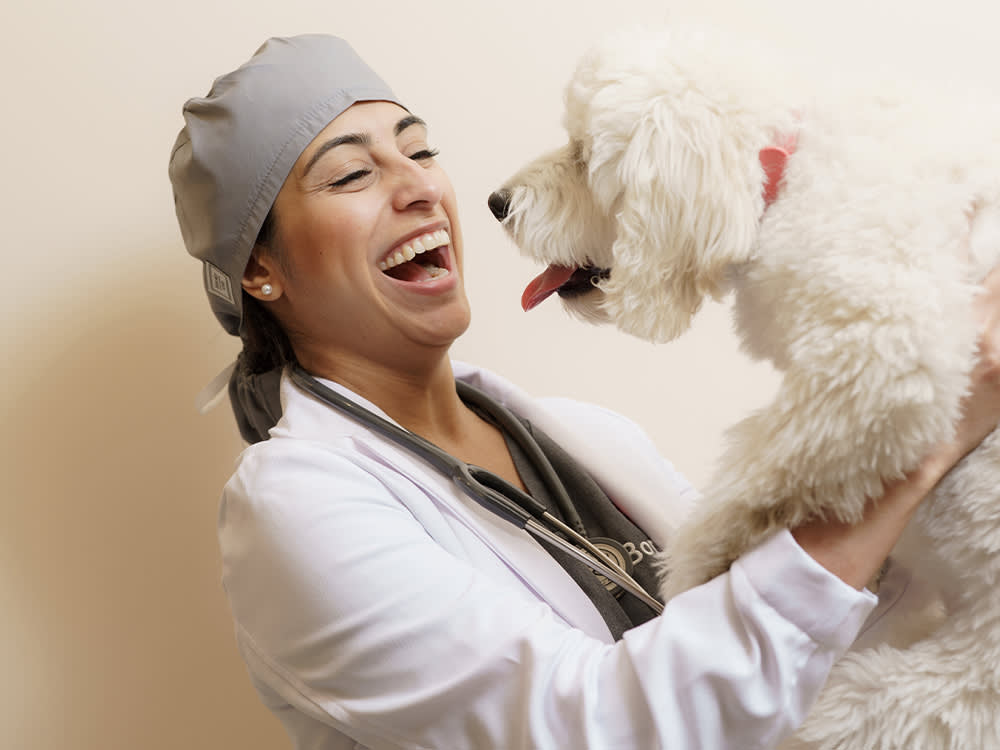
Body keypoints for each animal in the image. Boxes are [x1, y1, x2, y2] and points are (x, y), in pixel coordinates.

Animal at [490, 23, 1000, 750]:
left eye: (586, 156)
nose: (496, 203)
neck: (783, 174)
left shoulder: (885, 356)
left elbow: (759, 474)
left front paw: (695, 567)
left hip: (940, 691)